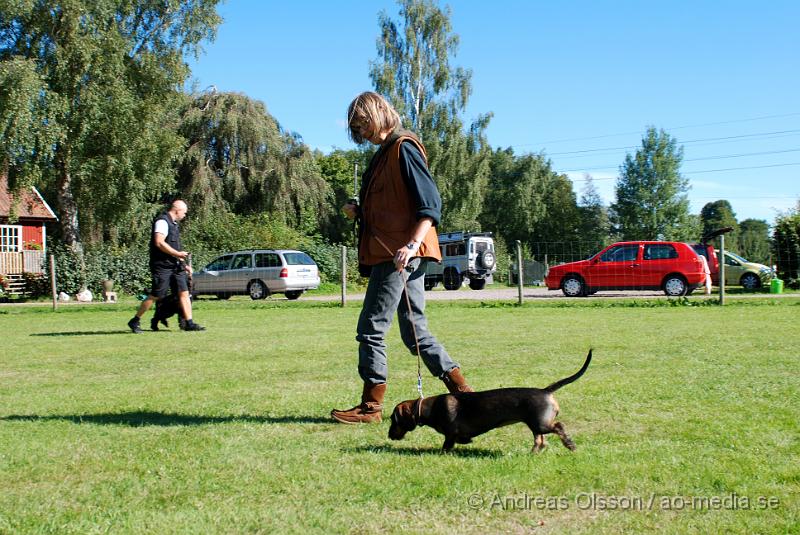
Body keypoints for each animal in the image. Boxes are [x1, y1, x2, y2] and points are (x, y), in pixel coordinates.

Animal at [390, 352, 592, 452]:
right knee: (540, 440)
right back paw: (533, 453)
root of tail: (545, 390)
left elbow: (447, 445)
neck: (429, 408)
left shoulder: (449, 434)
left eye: (393, 420)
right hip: (536, 425)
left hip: (541, 423)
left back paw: (570, 445)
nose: (389, 436)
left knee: (558, 427)